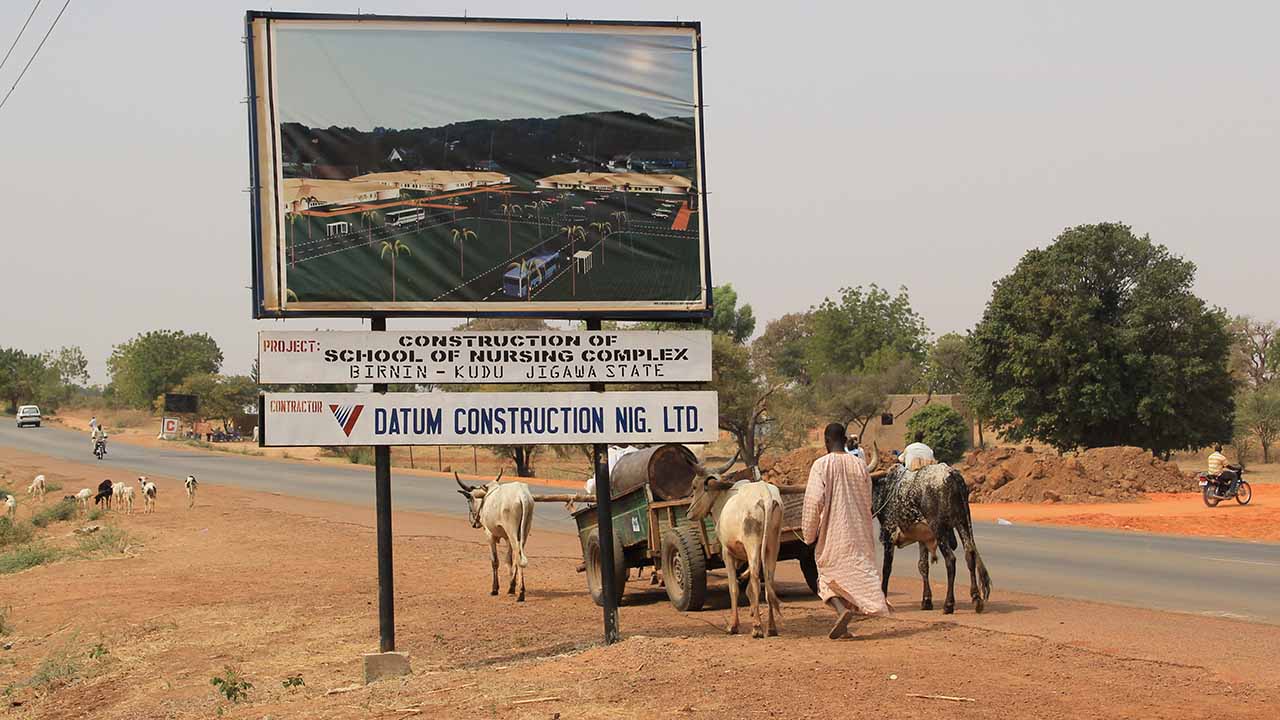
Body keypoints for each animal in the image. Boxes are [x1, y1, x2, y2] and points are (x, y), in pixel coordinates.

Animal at [455, 471, 535, 599]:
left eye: (469, 500)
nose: (474, 523)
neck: (484, 497)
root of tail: (522, 496)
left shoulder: (489, 535)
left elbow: (495, 561)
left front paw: (495, 589)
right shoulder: (507, 538)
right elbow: (508, 561)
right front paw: (511, 587)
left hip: (511, 530)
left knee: (518, 557)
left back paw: (521, 593)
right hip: (524, 530)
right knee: (518, 556)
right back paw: (516, 589)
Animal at [686, 466, 783, 638]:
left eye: (695, 486)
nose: (689, 512)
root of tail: (765, 495)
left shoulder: (727, 554)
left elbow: (734, 588)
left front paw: (733, 626)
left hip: (752, 544)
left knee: (756, 578)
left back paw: (757, 627)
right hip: (773, 544)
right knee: (769, 581)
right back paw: (771, 628)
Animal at [875, 458, 993, 609]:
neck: (884, 488)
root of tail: (951, 474)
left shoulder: (889, 535)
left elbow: (886, 568)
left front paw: (884, 598)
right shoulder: (922, 538)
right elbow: (923, 566)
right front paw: (926, 600)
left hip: (939, 529)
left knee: (951, 559)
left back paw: (948, 604)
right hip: (963, 522)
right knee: (970, 554)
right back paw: (976, 598)